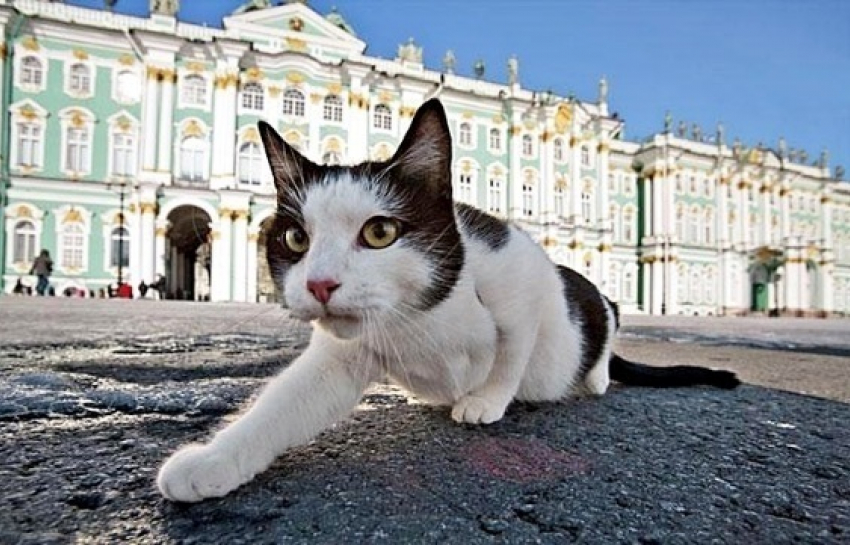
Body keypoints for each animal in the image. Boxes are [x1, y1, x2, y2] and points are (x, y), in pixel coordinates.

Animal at [157, 99, 736, 502]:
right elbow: (281, 405)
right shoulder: (340, 358)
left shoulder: (522, 271)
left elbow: (512, 349)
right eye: (296, 239)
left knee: (608, 316)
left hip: (585, 295)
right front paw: (212, 461)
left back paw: (593, 376)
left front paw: (486, 399)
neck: (417, 316)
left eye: (380, 232)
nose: (320, 284)